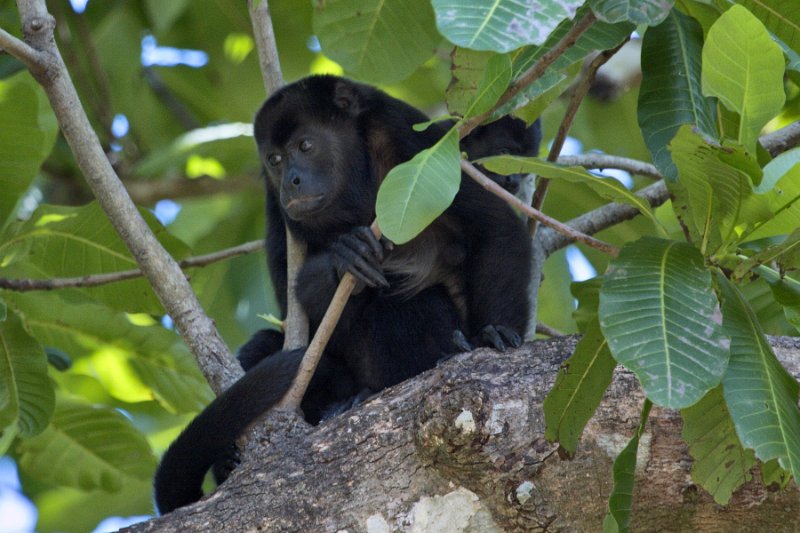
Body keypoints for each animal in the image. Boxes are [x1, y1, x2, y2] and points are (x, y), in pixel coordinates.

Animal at [154, 77, 536, 512]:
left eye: (306, 145)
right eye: (274, 159)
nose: (291, 180)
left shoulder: (412, 138)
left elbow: (495, 228)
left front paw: (495, 333)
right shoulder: (274, 203)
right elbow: (295, 305)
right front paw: (341, 259)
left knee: (404, 302)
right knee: (268, 342)